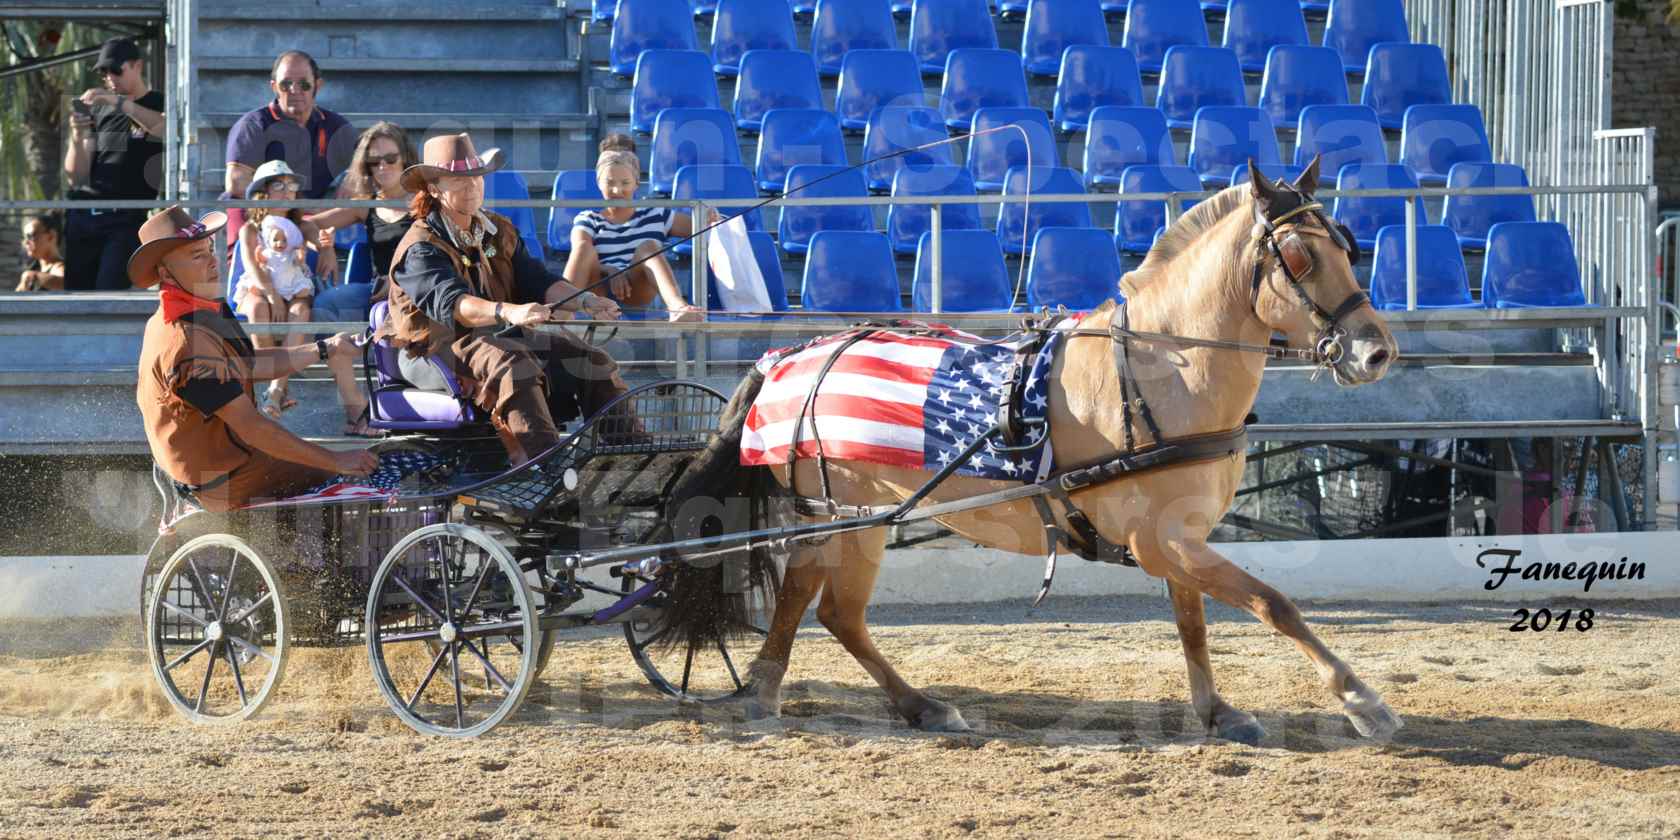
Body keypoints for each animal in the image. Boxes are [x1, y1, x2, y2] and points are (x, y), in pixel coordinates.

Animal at [655, 160, 1404, 745]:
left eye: (1348, 246)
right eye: (1300, 256)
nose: (1375, 351)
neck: (1163, 369)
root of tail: (794, 355)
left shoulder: (1179, 533)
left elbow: (1193, 622)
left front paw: (1219, 712)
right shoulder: (1160, 540)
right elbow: (1274, 604)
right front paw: (1362, 701)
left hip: (860, 517)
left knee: (837, 614)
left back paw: (916, 706)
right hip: (832, 511)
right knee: (806, 601)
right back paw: (767, 695)